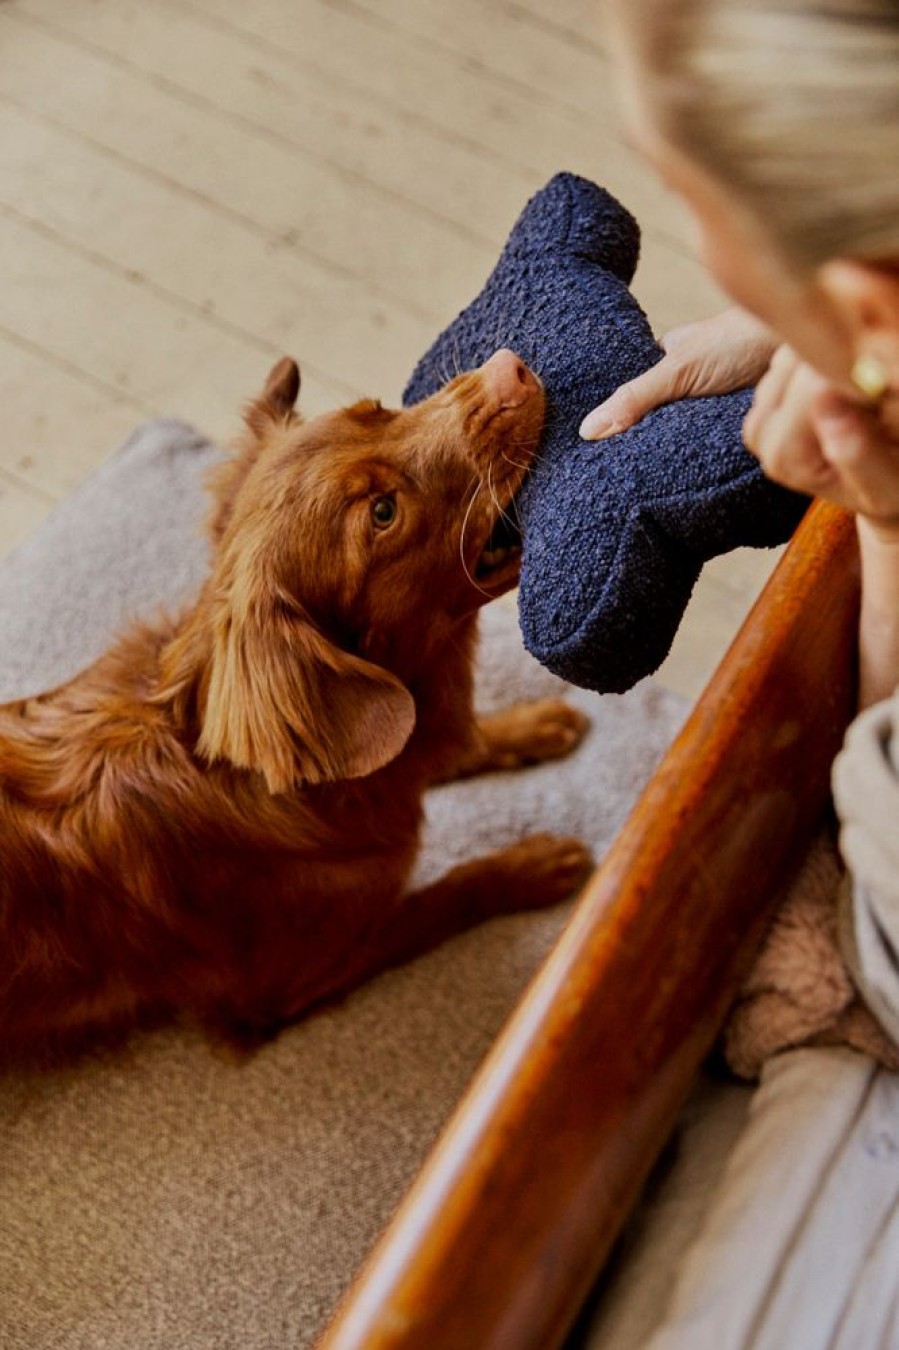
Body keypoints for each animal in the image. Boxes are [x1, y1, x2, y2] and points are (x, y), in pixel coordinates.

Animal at [0, 342, 588, 1058]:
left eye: (377, 410)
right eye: (383, 512)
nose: (511, 367)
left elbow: (453, 742)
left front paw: (533, 725)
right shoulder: (288, 981)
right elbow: (438, 899)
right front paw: (532, 863)